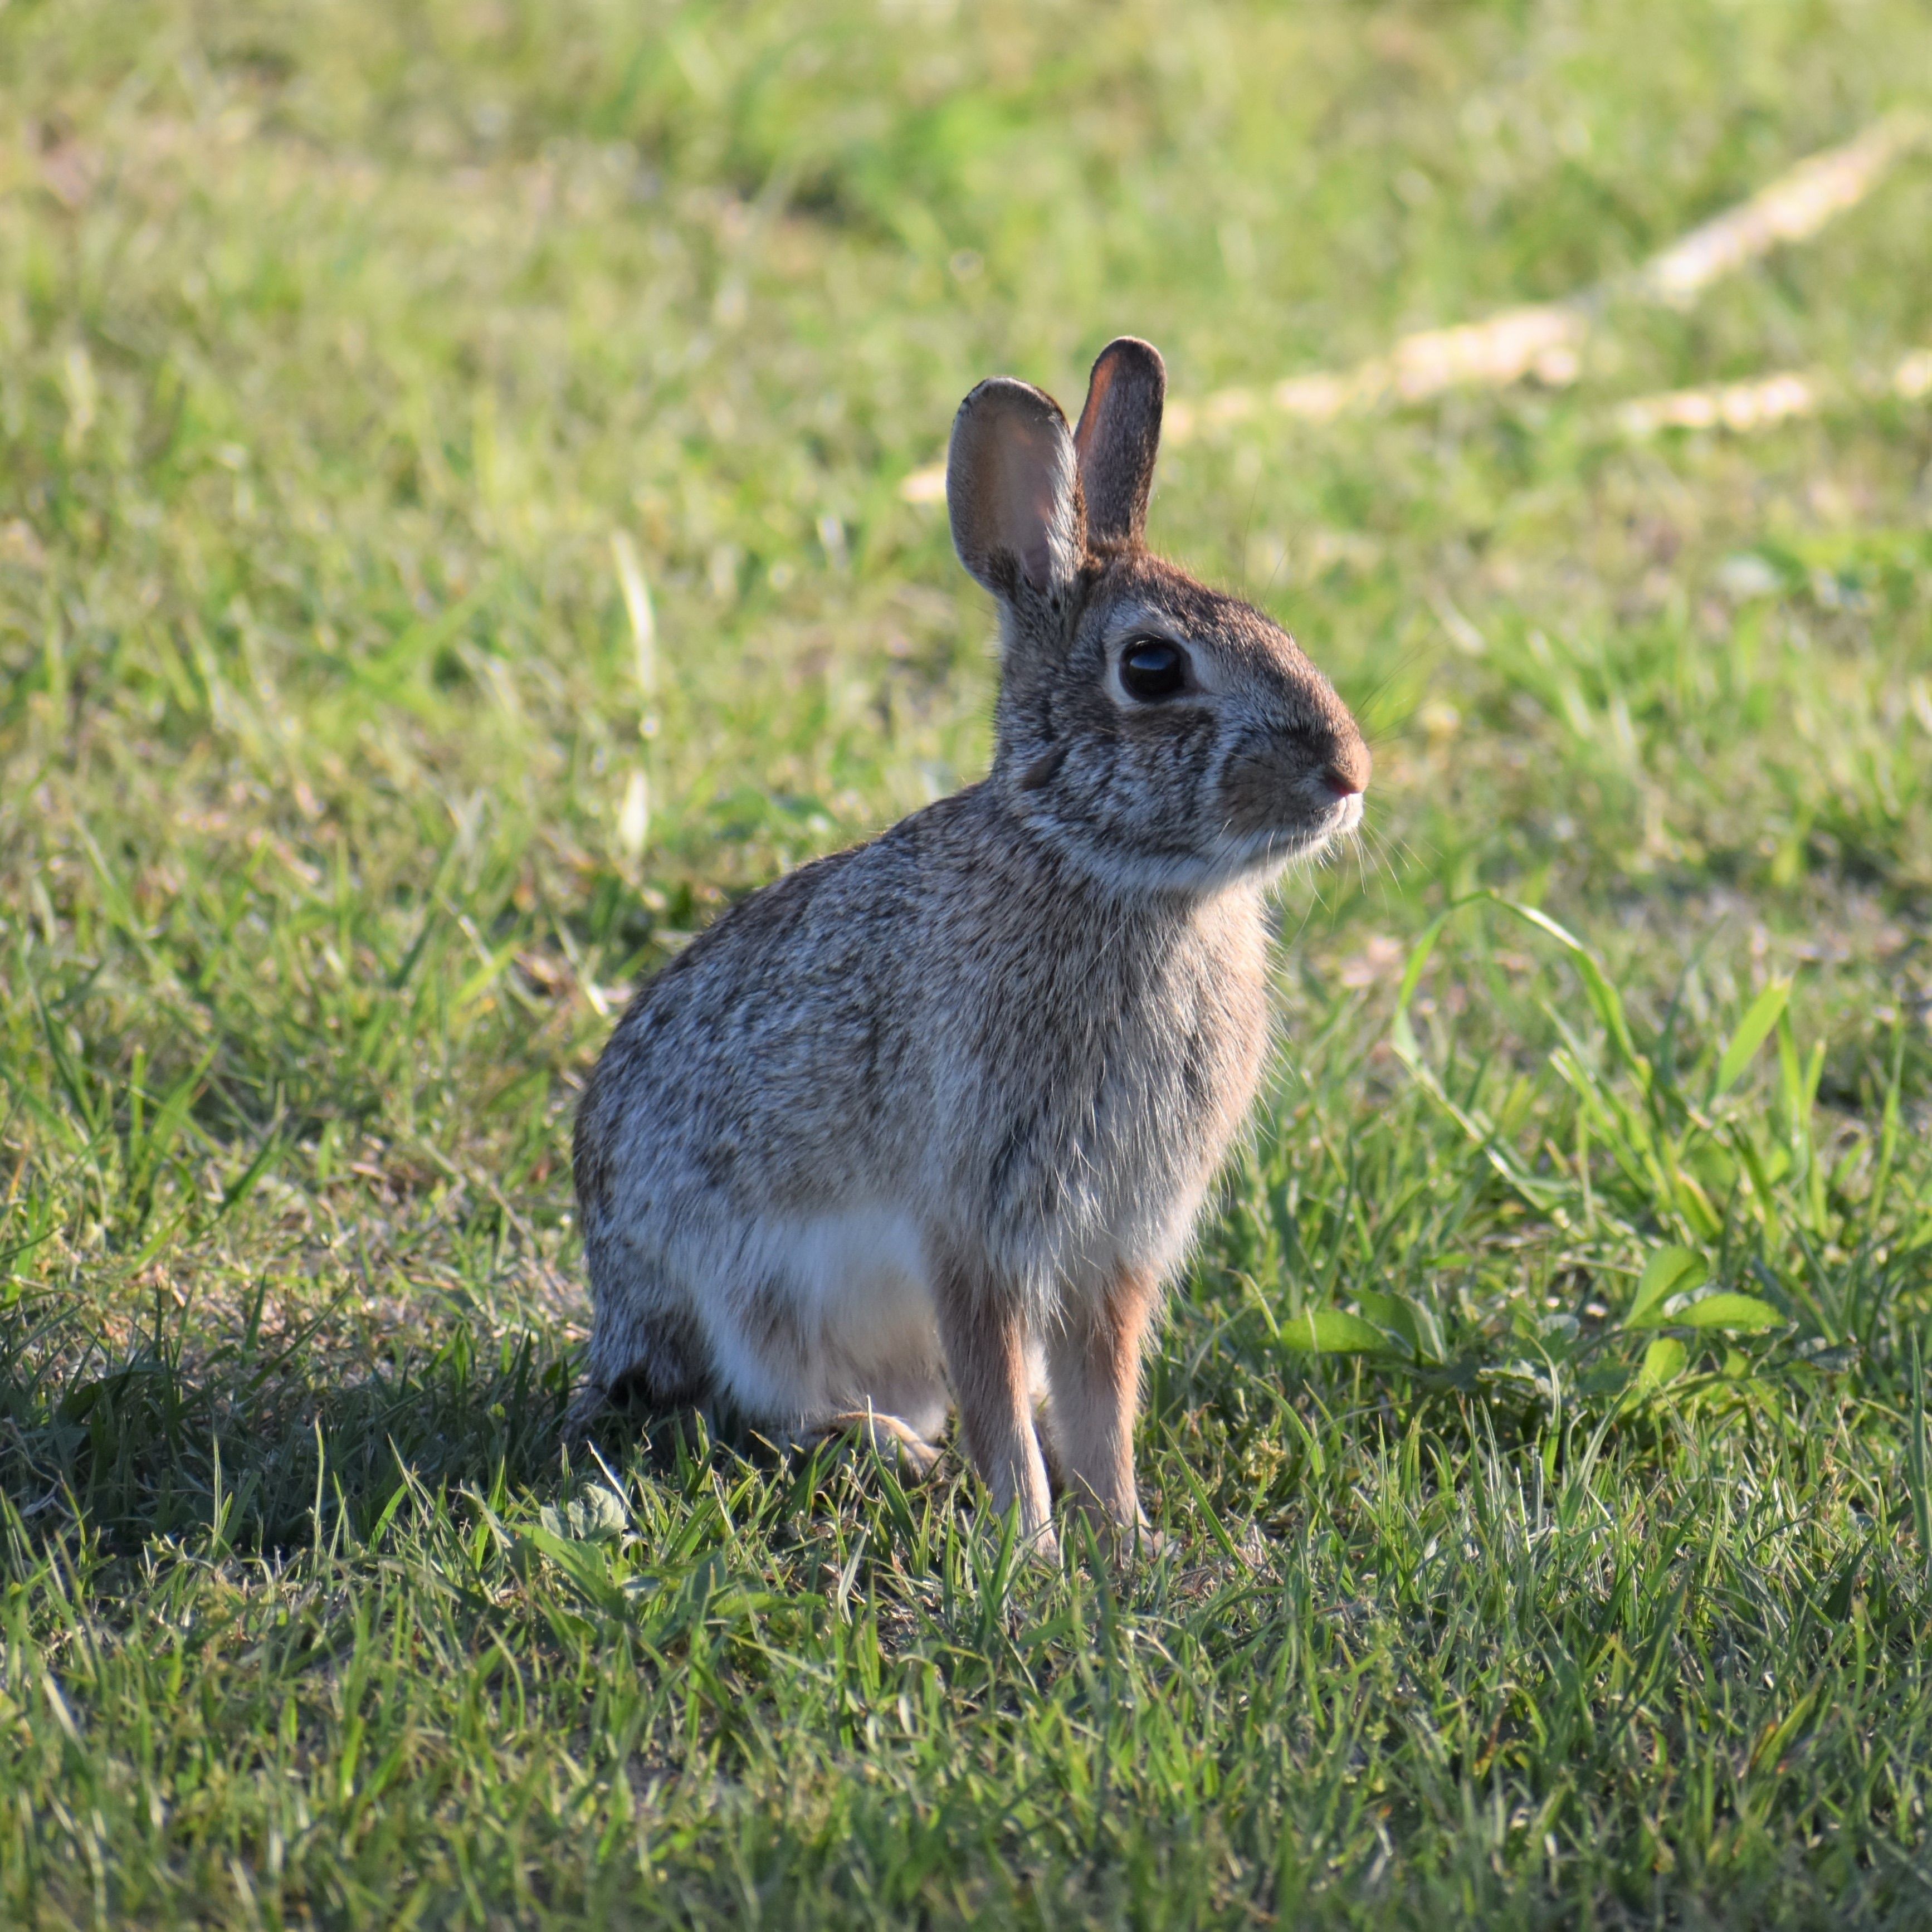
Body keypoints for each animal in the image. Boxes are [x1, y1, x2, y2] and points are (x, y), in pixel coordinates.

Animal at [567, 338, 1369, 1558]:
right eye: (1152, 668)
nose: (1349, 772)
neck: (1107, 870)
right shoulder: (975, 1222)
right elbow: (997, 1394)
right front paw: (1033, 1549)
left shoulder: (1114, 1244)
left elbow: (1102, 1398)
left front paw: (1129, 1539)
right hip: (750, 1300)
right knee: (758, 1407)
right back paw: (878, 1447)